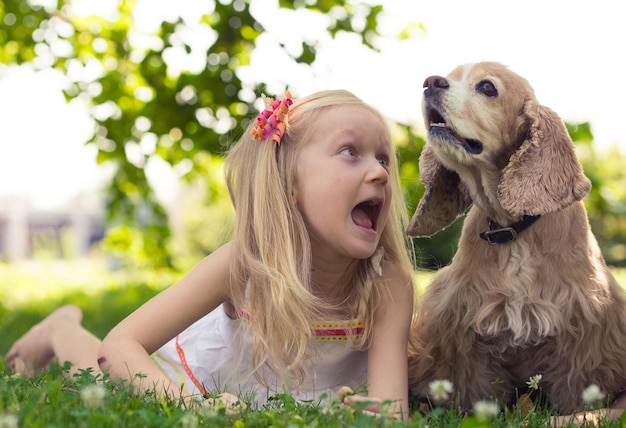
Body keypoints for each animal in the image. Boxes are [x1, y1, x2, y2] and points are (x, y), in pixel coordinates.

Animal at [404, 61, 624, 412]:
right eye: (451, 76)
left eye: (487, 87)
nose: (430, 82)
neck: (513, 229)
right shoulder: (462, 318)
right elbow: (473, 384)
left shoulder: (584, 319)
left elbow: (576, 385)